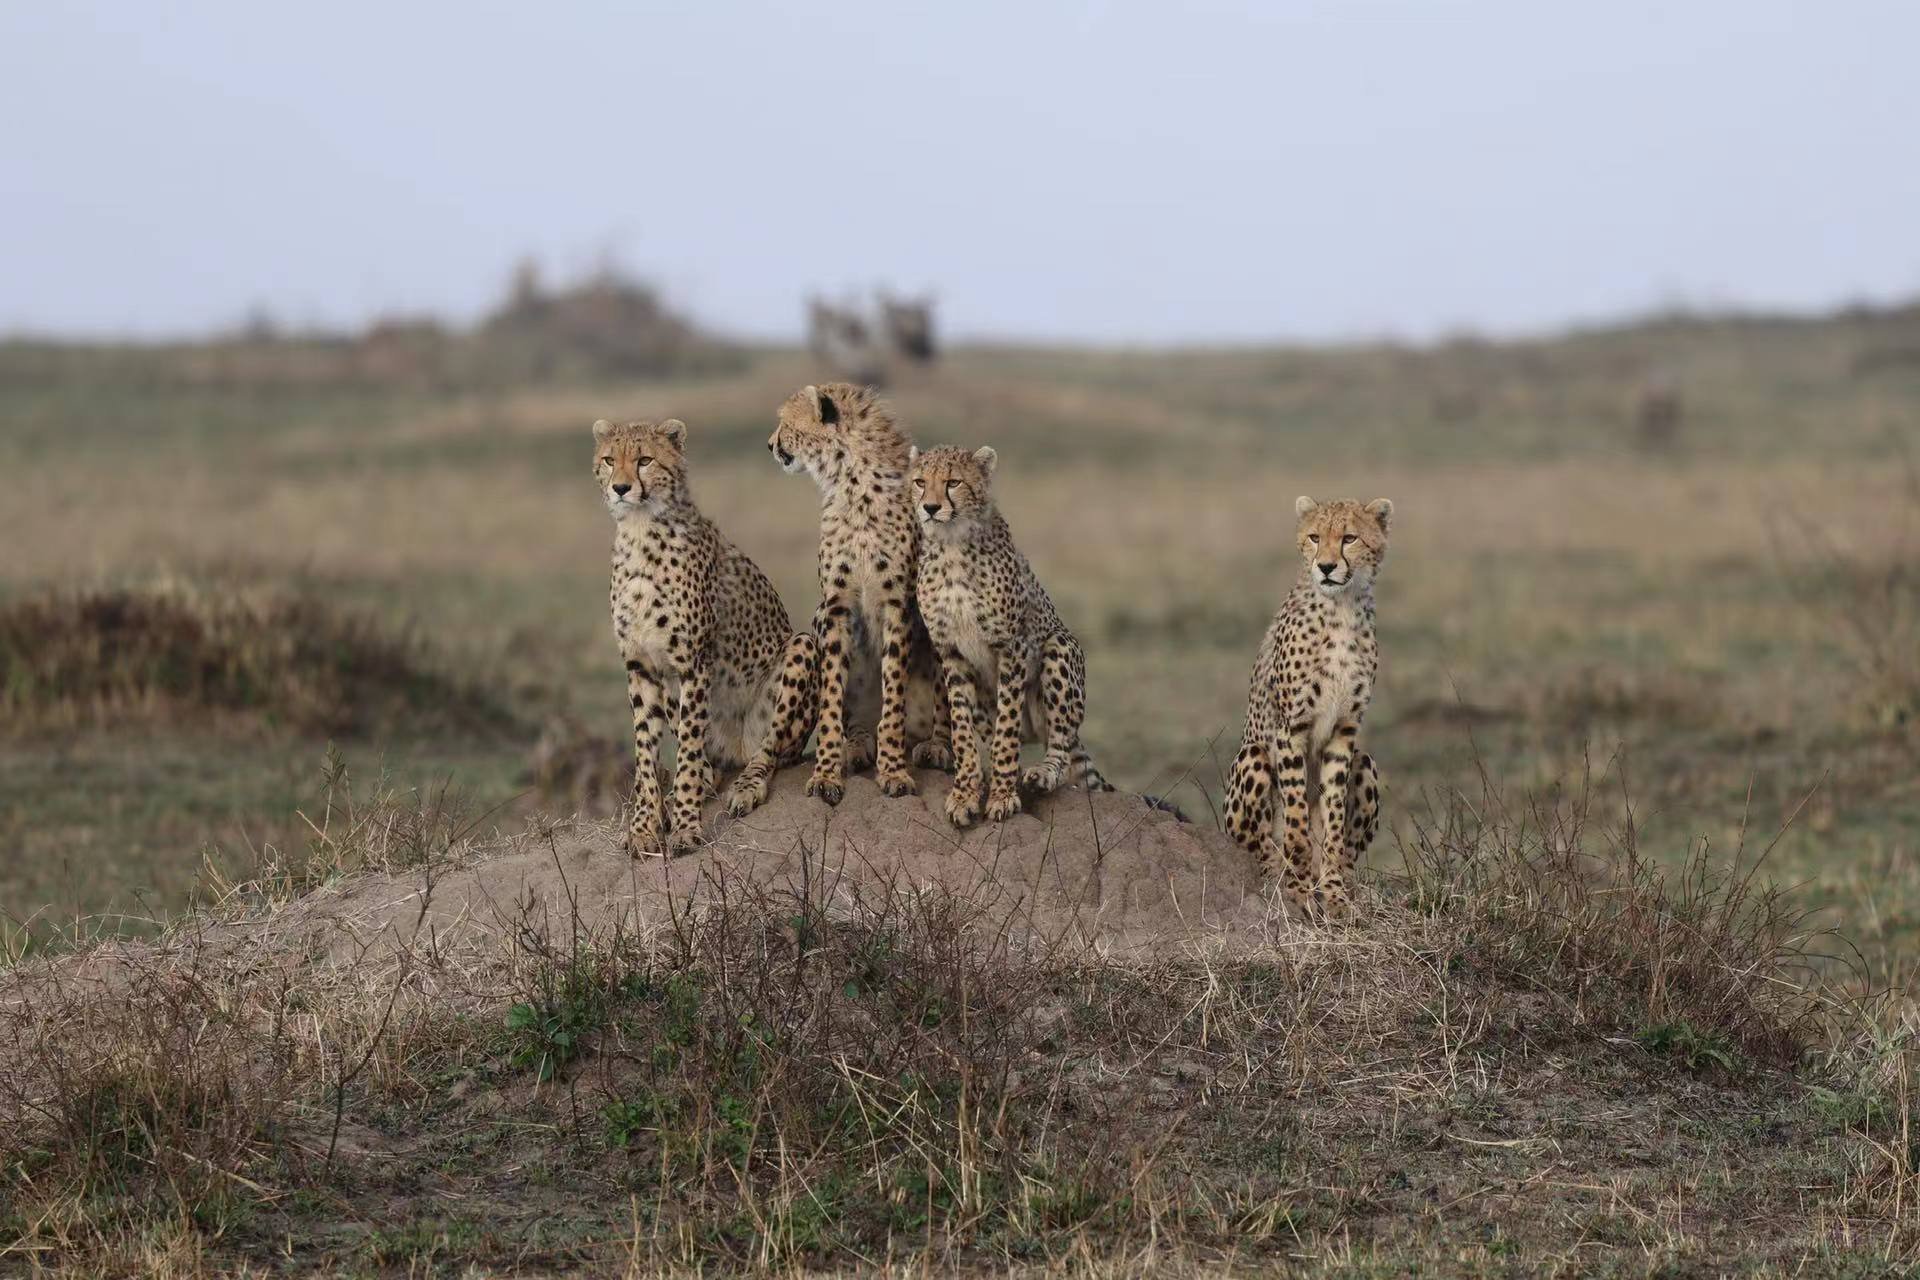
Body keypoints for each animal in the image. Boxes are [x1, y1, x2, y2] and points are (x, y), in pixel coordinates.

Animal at [591, 416, 817, 855]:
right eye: (610, 460)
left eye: (644, 460)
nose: (621, 488)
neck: (640, 531)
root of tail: (735, 752)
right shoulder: (642, 666)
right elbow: (646, 750)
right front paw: (645, 827)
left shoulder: (693, 663)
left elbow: (689, 748)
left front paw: (686, 828)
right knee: (705, 759)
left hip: (801, 648)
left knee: (769, 752)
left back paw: (745, 787)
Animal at [764, 379, 944, 805]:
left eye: (786, 423)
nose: (769, 443)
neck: (851, 480)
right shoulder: (836, 604)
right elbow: (833, 693)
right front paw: (826, 773)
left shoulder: (898, 604)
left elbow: (893, 694)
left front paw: (893, 771)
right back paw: (857, 746)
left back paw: (937, 746)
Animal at [910, 445, 1113, 825]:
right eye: (919, 482)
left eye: (953, 482)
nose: (929, 507)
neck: (952, 545)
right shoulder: (951, 652)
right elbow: (962, 728)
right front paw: (965, 793)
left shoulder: (1012, 647)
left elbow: (1007, 727)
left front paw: (1002, 797)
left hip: (1058, 648)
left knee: (1060, 745)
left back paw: (1041, 774)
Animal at [1221, 495, 1390, 917]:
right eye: (1314, 537)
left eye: (1349, 538)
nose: (1326, 567)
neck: (1341, 608)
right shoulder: (1291, 727)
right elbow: (1296, 813)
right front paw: (1298, 889)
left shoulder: (1345, 731)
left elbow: (1331, 820)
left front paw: (1332, 892)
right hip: (1253, 756)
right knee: (1260, 846)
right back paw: (1279, 875)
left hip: (1365, 761)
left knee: (1348, 850)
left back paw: (1346, 885)